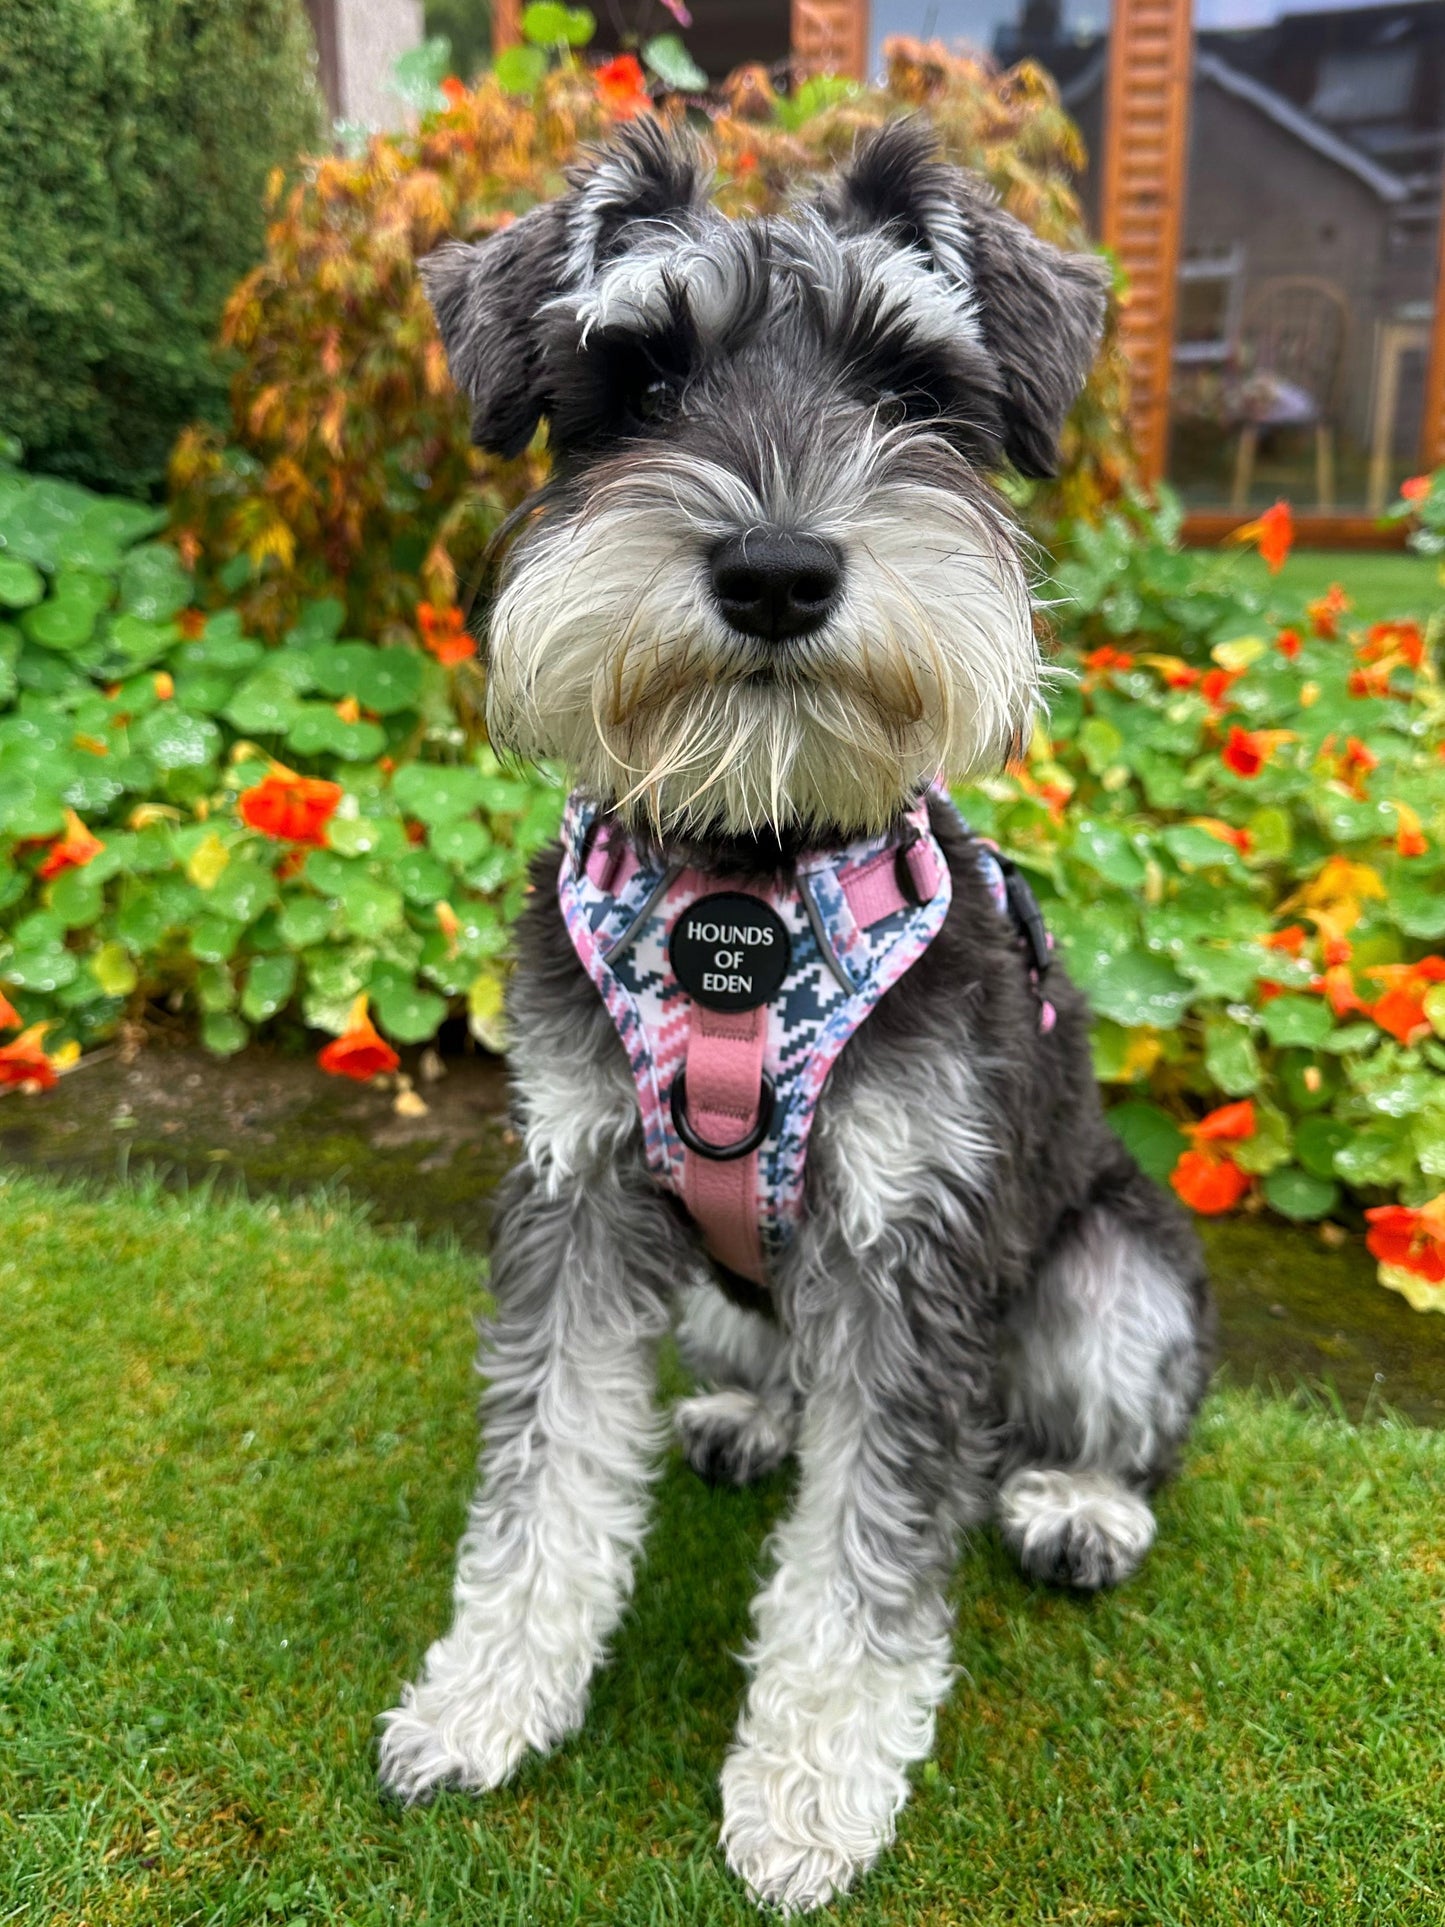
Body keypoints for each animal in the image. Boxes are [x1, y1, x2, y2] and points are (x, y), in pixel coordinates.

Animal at [379, 120, 1217, 1911]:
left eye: (909, 382)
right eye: (636, 378)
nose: (775, 570)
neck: (745, 890)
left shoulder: (912, 1249)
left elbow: (863, 1557)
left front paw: (813, 1789)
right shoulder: (574, 1196)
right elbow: (543, 1476)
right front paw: (486, 1699)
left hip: (1114, 1269)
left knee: (1104, 1422)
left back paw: (1077, 1503)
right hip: (719, 1292)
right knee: (777, 1368)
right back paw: (748, 1416)